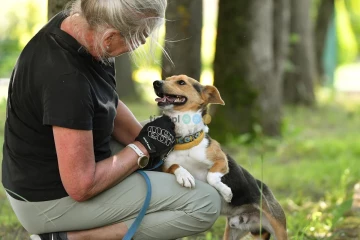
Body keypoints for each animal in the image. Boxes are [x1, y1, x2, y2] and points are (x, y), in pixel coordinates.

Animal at [153, 74, 288, 239]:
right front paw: (185, 176)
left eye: (181, 82)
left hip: (278, 227)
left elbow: (211, 176)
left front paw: (226, 192)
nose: (156, 83)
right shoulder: (165, 166)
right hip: (233, 230)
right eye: (167, 78)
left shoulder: (221, 161)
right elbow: (175, 165)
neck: (186, 141)